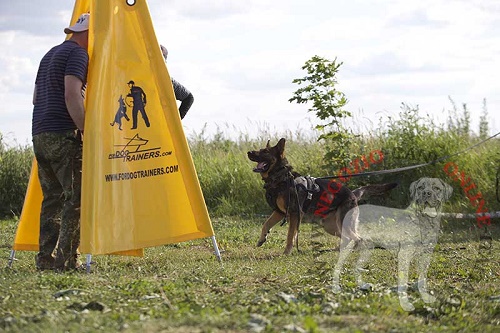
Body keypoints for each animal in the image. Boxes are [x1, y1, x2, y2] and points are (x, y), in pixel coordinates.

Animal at [248, 137, 396, 254]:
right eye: (260, 149)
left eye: (265, 152)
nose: (249, 152)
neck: (281, 178)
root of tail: (352, 194)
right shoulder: (279, 212)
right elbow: (266, 224)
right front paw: (262, 239)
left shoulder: (294, 214)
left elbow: (290, 235)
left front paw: (286, 252)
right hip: (331, 227)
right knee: (347, 237)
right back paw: (338, 249)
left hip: (342, 223)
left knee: (358, 238)